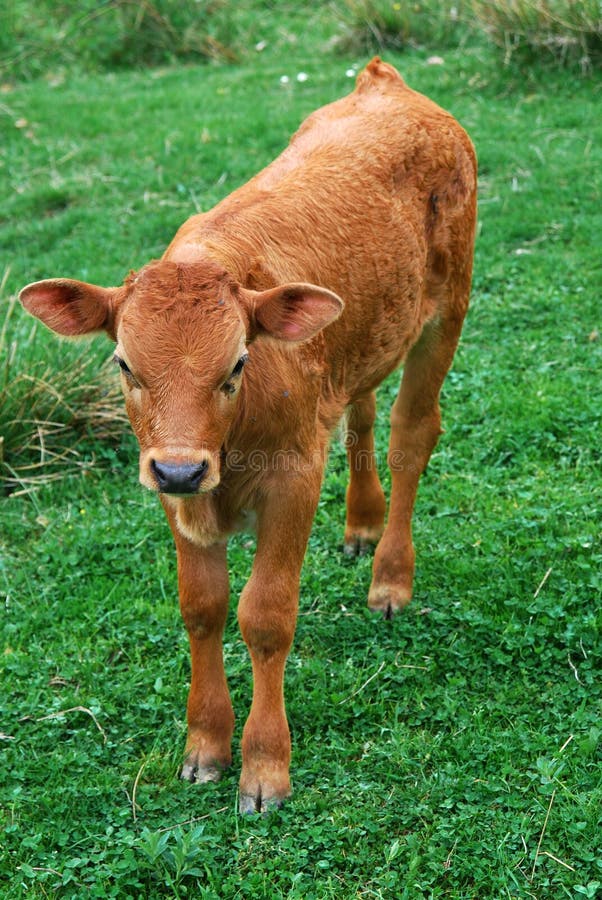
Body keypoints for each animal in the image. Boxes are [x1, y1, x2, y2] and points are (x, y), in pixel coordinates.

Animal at [21, 59, 476, 812]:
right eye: (123, 364)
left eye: (237, 363)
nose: (181, 470)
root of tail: (385, 82)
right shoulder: (175, 492)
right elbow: (201, 607)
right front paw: (205, 745)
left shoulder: (293, 477)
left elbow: (264, 614)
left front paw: (265, 766)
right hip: (365, 337)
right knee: (361, 412)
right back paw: (361, 523)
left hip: (448, 310)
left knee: (412, 435)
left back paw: (390, 577)